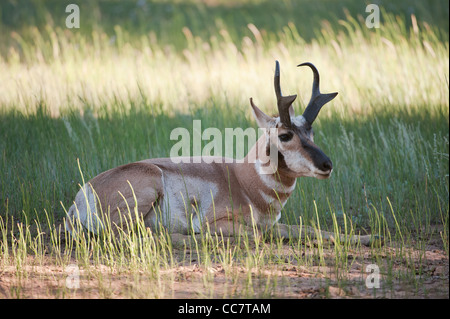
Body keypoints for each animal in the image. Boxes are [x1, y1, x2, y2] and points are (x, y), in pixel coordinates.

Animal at [65, 62, 378, 248]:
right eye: (285, 135)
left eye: (311, 132)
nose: (327, 165)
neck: (244, 181)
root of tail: (82, 195)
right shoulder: (222, 221)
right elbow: (258, 233)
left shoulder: (278, 223)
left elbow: (311, 230)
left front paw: (368, 237)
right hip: (147, 187)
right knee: (130, 235)